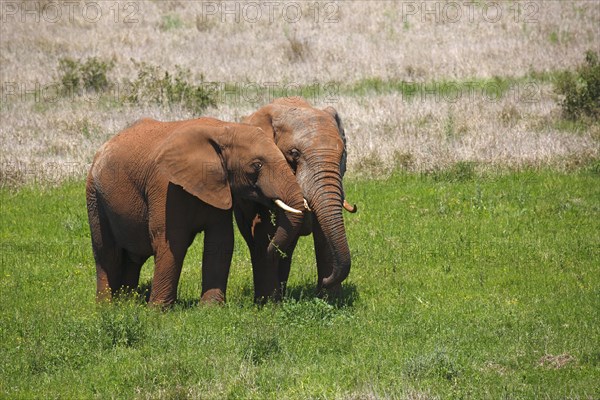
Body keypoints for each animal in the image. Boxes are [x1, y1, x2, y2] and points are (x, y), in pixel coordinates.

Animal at [85, 117, 308, 304]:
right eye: (257, 165)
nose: (272, 251)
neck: (223, 128)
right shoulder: (165, 185)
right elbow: (172, 241)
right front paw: (158, 312)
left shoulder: (219, 186)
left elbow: (220, 241)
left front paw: (210, 308)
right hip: (94, 197)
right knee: (107, 253)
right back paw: (107, 308)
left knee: (133, 258)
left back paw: (126, 303)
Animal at [234, 97, 356, 304]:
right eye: (294, 154)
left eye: (342, 154)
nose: (326, 280)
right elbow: (264, 228)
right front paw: (269, 304)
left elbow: (323, 232)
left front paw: (331, 301)